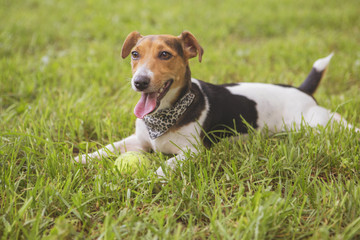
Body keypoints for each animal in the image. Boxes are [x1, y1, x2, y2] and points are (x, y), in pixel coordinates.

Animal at [74, 31, 358, 175]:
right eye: (135, 54)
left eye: (165, 54)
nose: (139, 82)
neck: (166, 114)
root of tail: (302, 90)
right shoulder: (138, 141)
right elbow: (108, 148)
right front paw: (80, 159)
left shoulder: (192, 152)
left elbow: (166, 165)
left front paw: (153, 178)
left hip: (317, 124)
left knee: (343, 125)